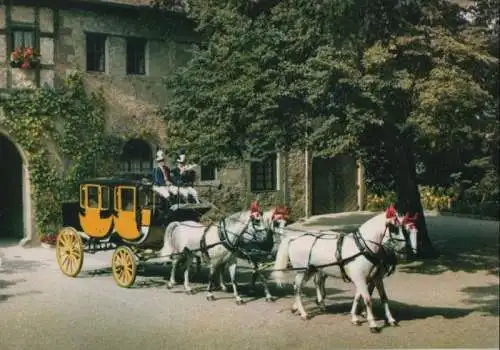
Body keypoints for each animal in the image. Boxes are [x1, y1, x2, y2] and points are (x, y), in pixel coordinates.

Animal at [274, 206, 418, 332]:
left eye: (403, 228)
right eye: (393, 228)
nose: (405, 249)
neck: (363, 247)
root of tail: (294, 238)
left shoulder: (375, 278)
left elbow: (381, 298)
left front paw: (389, 319)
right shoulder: (360, 278)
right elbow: (367, 299)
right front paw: (372, 323)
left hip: (310, 271)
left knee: (303, 285)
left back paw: (300, 308)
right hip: (302, 271)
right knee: (297, 288)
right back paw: (303, 312)